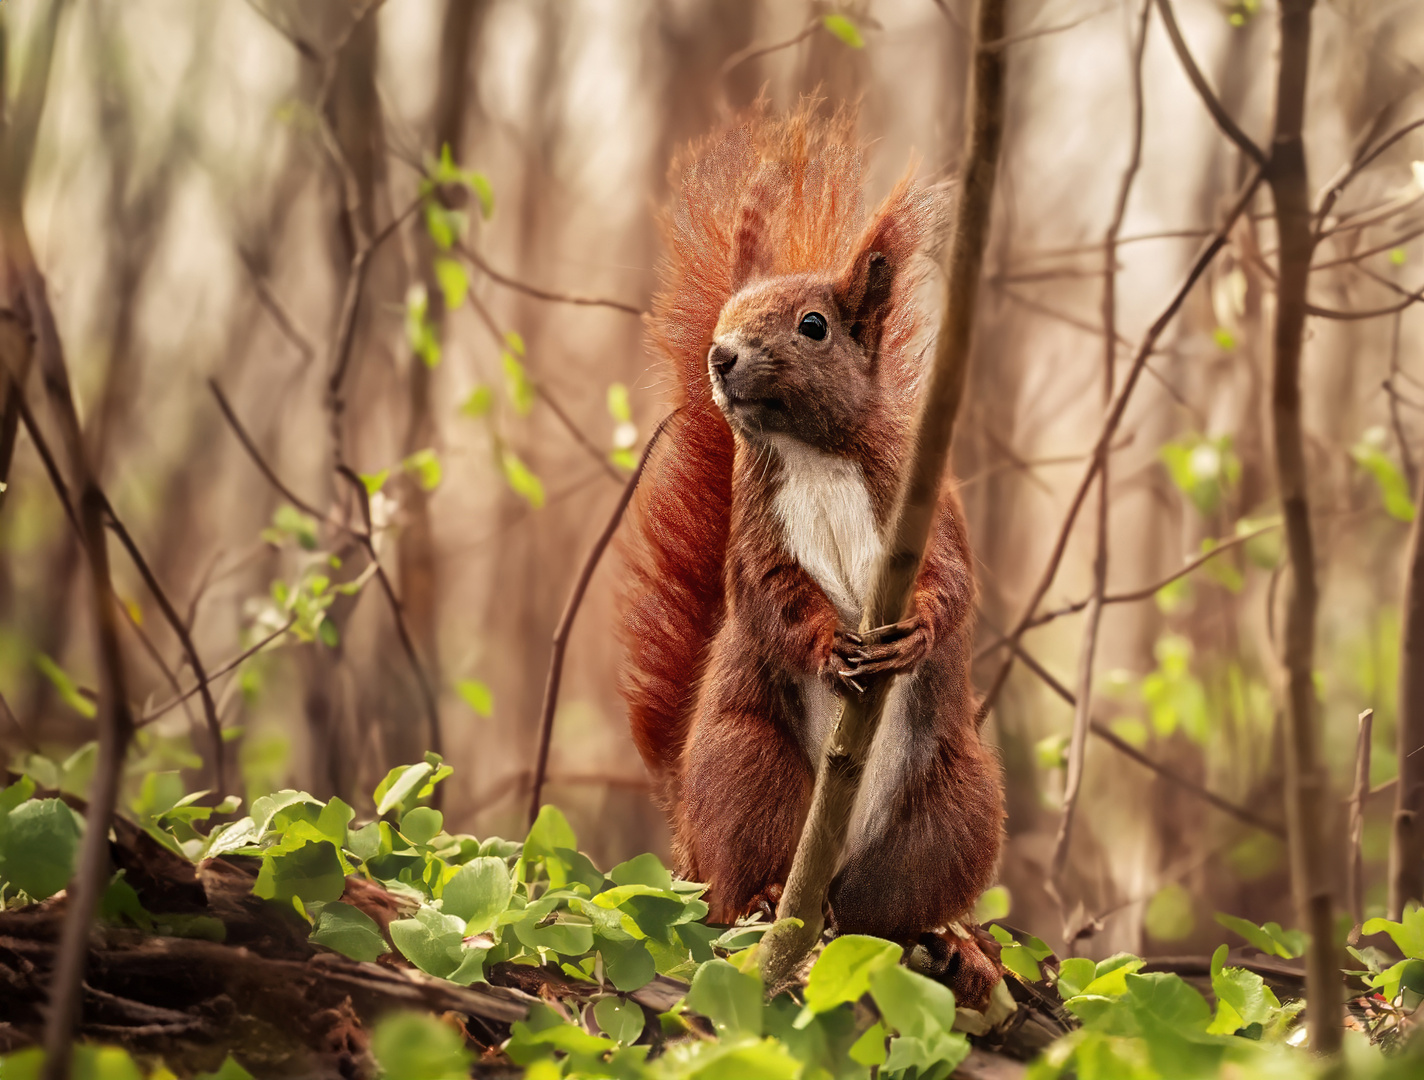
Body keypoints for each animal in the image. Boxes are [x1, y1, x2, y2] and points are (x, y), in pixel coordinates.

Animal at [612, 109, 1002, 1008]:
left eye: (813, 326)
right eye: (725, 313)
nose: (720, 355)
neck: (811, 449)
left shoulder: (928, 503)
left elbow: (953, 580)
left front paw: (914, 631)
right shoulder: (756, 533)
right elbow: (772, 595)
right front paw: (829, 646)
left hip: (953, 811)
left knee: (887, 918)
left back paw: (951, 942)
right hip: (747, 768)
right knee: (735, 884)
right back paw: (760, 899)